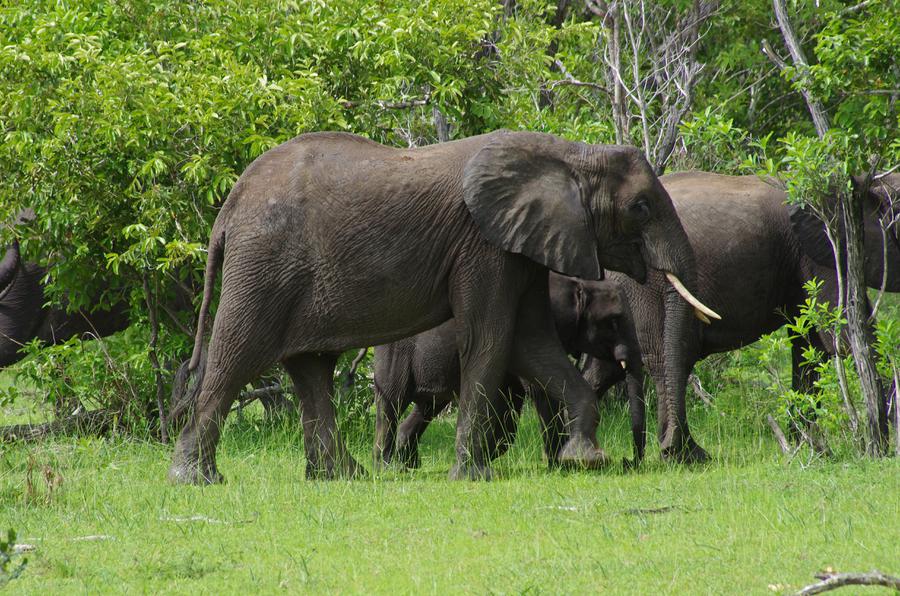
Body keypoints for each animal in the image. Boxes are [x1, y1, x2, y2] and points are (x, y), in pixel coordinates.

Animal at [372, 272, 648, 472]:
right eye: (613, 321)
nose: (628, 462)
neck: (576, 283)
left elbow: (512, 401)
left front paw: (488, 453)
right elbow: (538, 391)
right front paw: (560, 465)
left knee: (426, 407)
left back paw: (409, 464)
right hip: (394, 353)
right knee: (392, 404)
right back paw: (388, 468)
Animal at [604, 172, 900, 460]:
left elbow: (810, 344)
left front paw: (806, 446)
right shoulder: (825, 250)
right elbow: (840, 331)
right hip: (643, 286)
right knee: (661, 359)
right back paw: (685, 454)